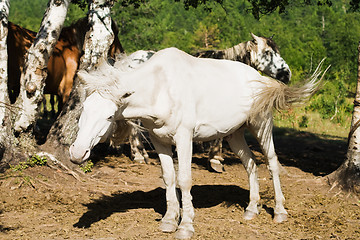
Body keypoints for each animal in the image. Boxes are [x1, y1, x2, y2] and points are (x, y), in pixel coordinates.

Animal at [69, 47, 324, 239]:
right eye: (84, 109)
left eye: (109, 116)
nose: (77, 152)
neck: (161, 87)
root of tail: (261, 79)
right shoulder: (159, 141)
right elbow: (169, 178)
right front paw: (169, 220)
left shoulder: (184, 138)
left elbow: (184, 180)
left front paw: (185, 226)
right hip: (234, 135)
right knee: (251, 164)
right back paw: (252, 209)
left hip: (261, 127)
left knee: (272, 164)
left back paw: (280, 212)